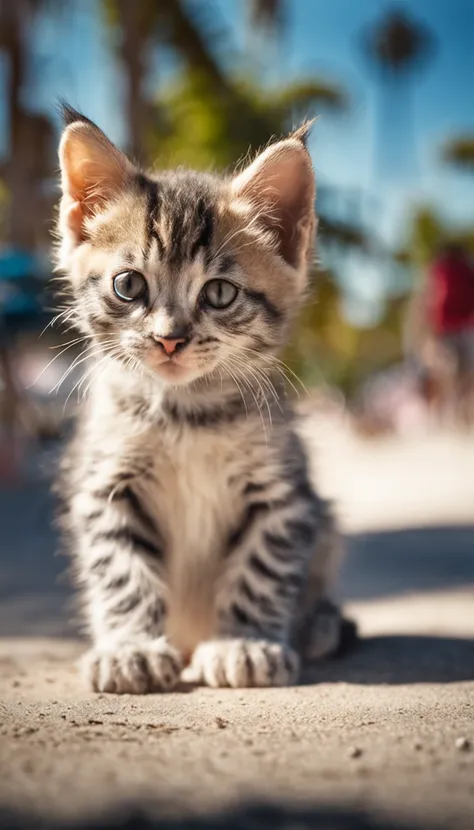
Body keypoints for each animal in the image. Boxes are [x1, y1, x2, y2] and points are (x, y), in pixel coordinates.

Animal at [55, 105, 352, 696]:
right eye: (129, 285)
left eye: (218, 293)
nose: (170, 338)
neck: (186, 412)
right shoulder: (105, 484)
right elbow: (120, 572)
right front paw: (130, 648)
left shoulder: (284, 493)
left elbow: (262, 569)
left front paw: (246, 642)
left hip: (327, 524)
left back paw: (318, 624)